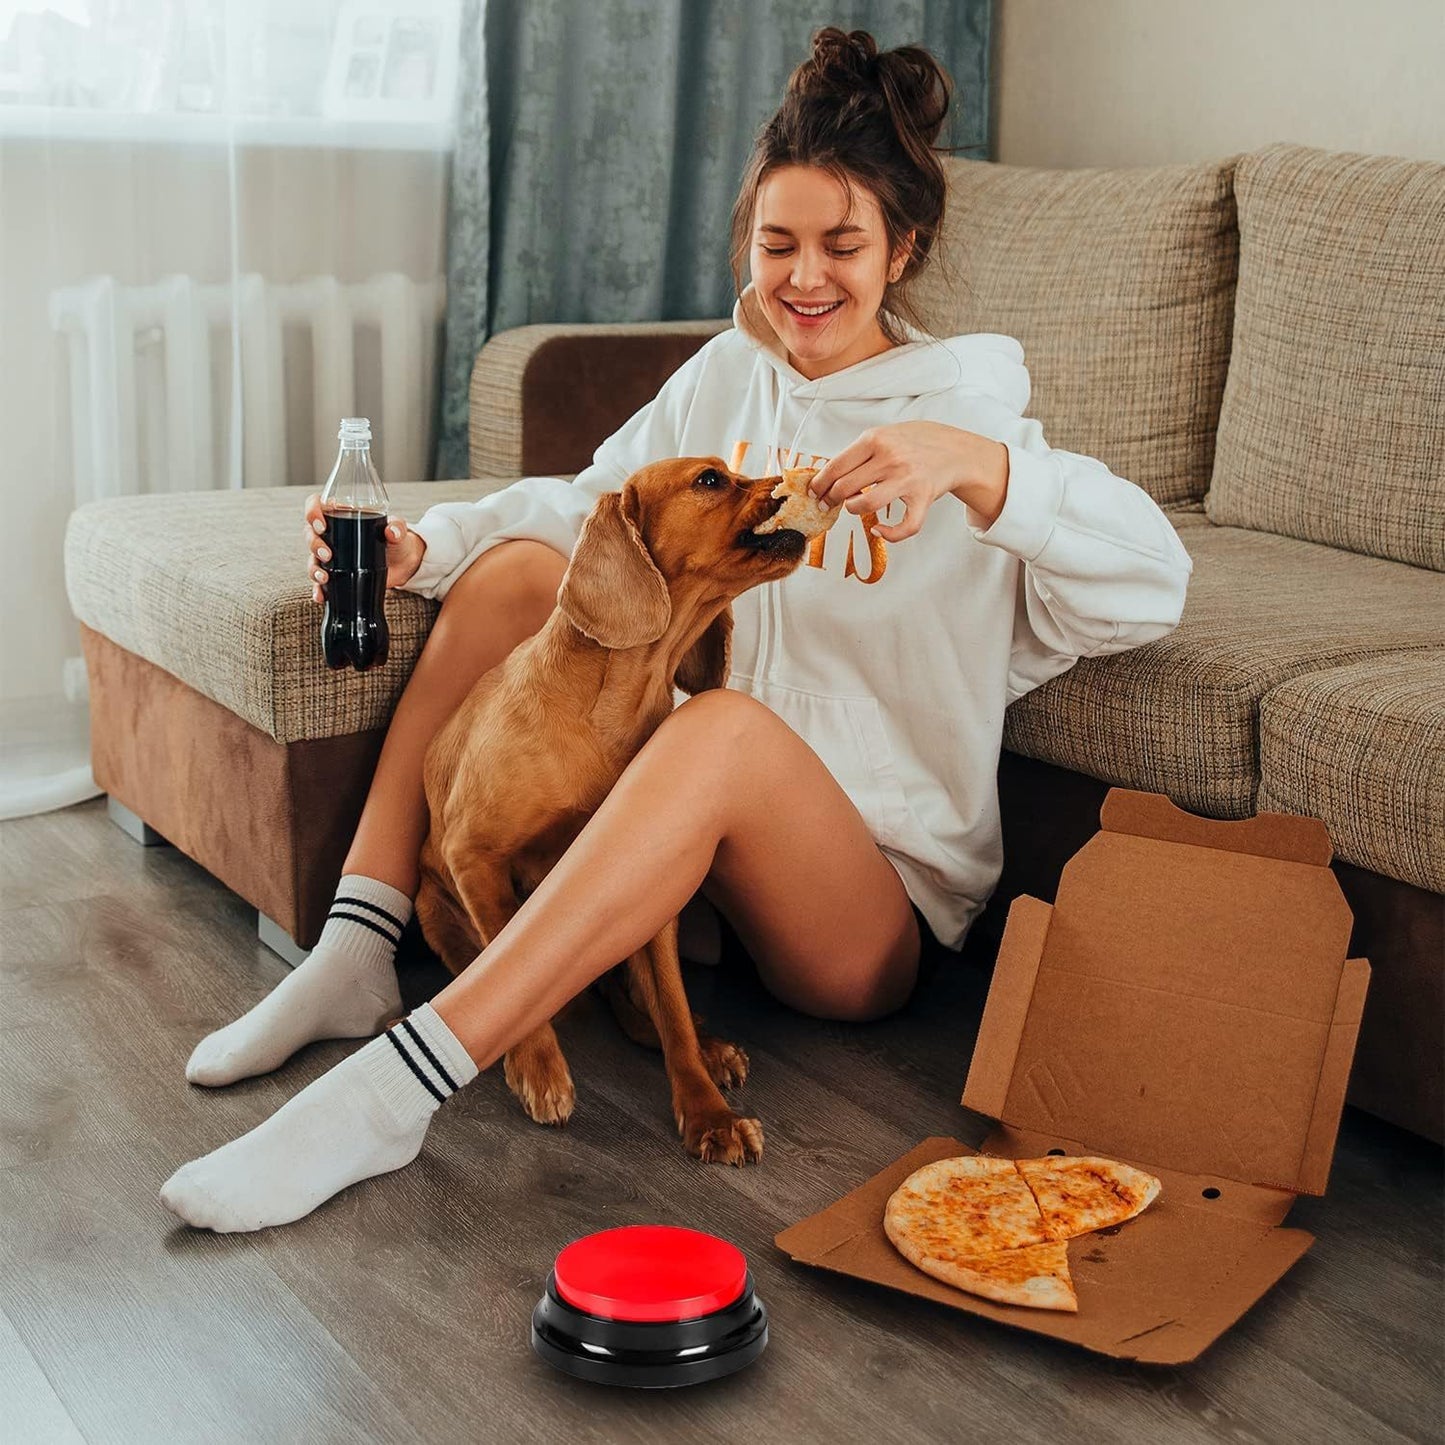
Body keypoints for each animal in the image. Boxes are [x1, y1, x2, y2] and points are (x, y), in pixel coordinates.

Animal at [413, 456, 820, 1167]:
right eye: (711, 479)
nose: (794, 475)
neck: (613, 705)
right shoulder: (474, 858)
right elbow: (512, 967)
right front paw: (538, 1068)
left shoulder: (652, 888)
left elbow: (674, 1007)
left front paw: (706, 1111)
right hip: (434, 909)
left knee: (640, 1008)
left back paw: (706, 1048)